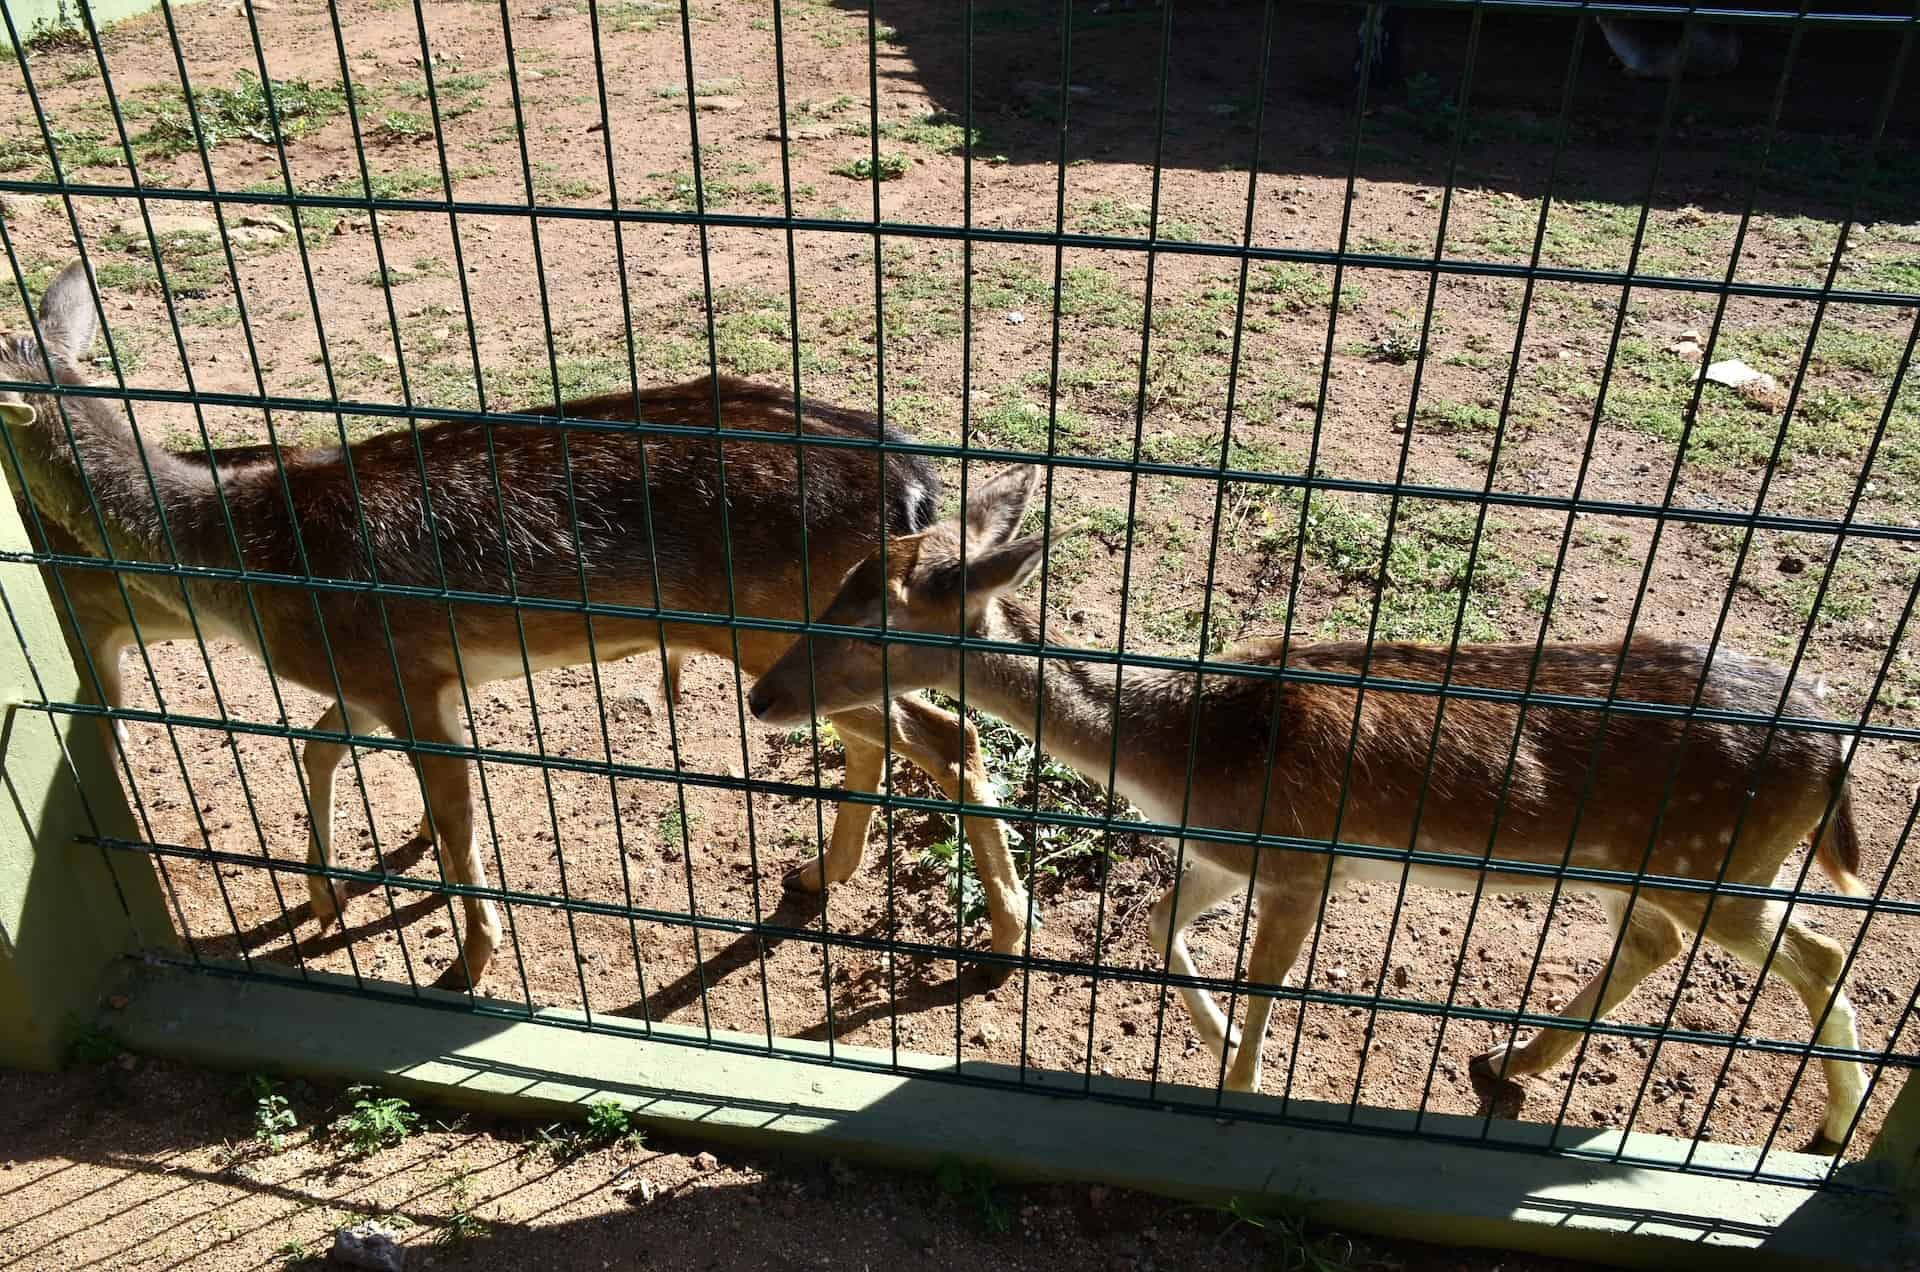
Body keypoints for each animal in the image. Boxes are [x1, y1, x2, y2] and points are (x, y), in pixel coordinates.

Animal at [3, 263, 1036, 991]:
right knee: (894, 738)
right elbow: (321, 746)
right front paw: (327, 898)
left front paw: (463, 962)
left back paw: (1004, 936)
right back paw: (821, 876)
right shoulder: (401, 676)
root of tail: (915, 483)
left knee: (948, 735)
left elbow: (457, 821)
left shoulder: (395, 673)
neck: (244, 554)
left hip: (781, 635)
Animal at [748, 463, 1873, 1152]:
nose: (762, 695)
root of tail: (1837, 743)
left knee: (1820, 954)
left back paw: (1829, 1127)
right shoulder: (1221, 852)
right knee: (1655, 942)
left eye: (872, 618)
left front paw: (1240, 1087)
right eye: (841, 579)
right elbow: (1155, 929)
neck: (1181, 757)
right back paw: (1506, 1057)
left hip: (1716, 857)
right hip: (1629, 865)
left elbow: (1261, 985)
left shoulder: (1300, 864)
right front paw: (1210, 1052)